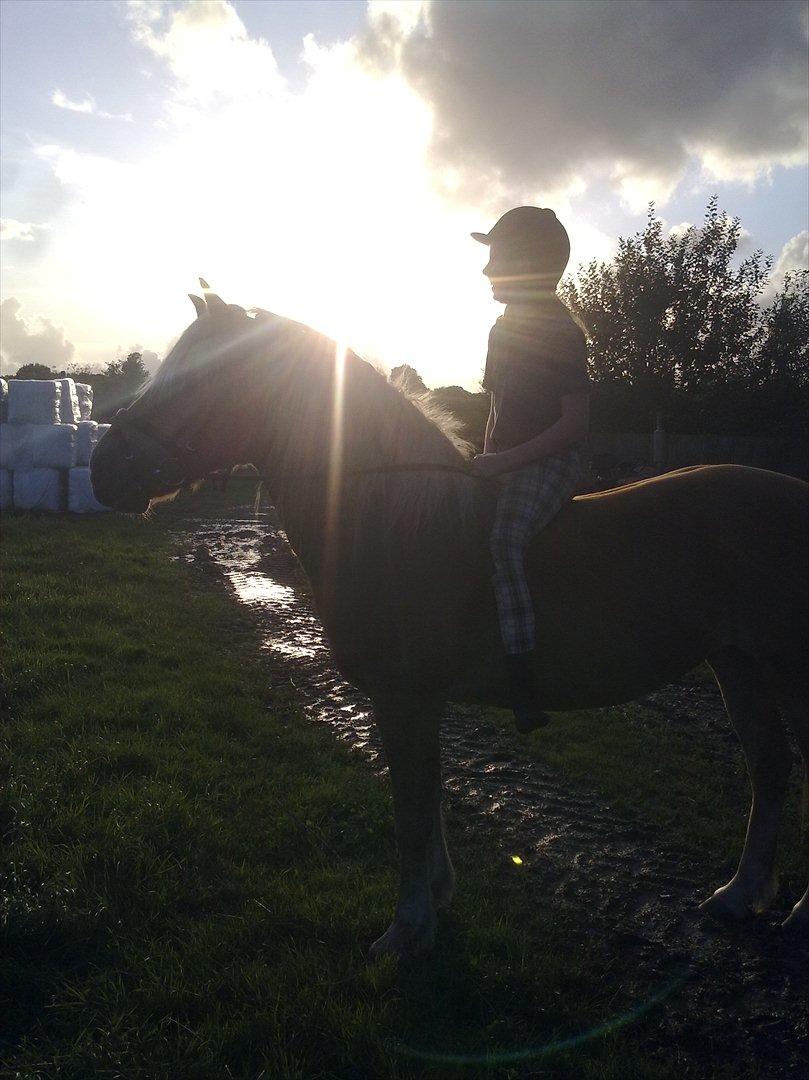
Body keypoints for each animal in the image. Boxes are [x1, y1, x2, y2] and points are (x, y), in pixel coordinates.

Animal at [90, 287, 807, 954]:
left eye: (201, 378)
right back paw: (739, 894)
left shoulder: (404, 696)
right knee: (768, 766)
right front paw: (435, 900)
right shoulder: (417, 701)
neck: (391, 520)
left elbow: (410, 806)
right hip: (737, 664)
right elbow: (427, 795)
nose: (103, 471)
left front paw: (407, 930)